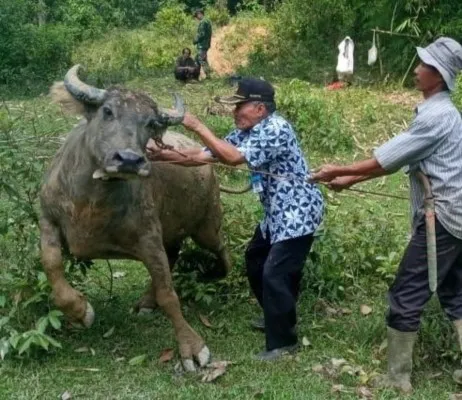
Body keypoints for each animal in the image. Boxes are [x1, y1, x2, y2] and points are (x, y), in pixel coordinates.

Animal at [40, 65, 233, 368]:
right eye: (107, 111)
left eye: (151, 123)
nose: (129, 159)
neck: (91, 201)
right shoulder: (48, 217)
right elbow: (51, 264)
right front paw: (80, 311)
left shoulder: (148, 237)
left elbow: (169, 295)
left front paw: (192, 347)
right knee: (174, 254)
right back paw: (147, 301)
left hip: (207, 224)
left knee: (220, 248)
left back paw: (220, 274)